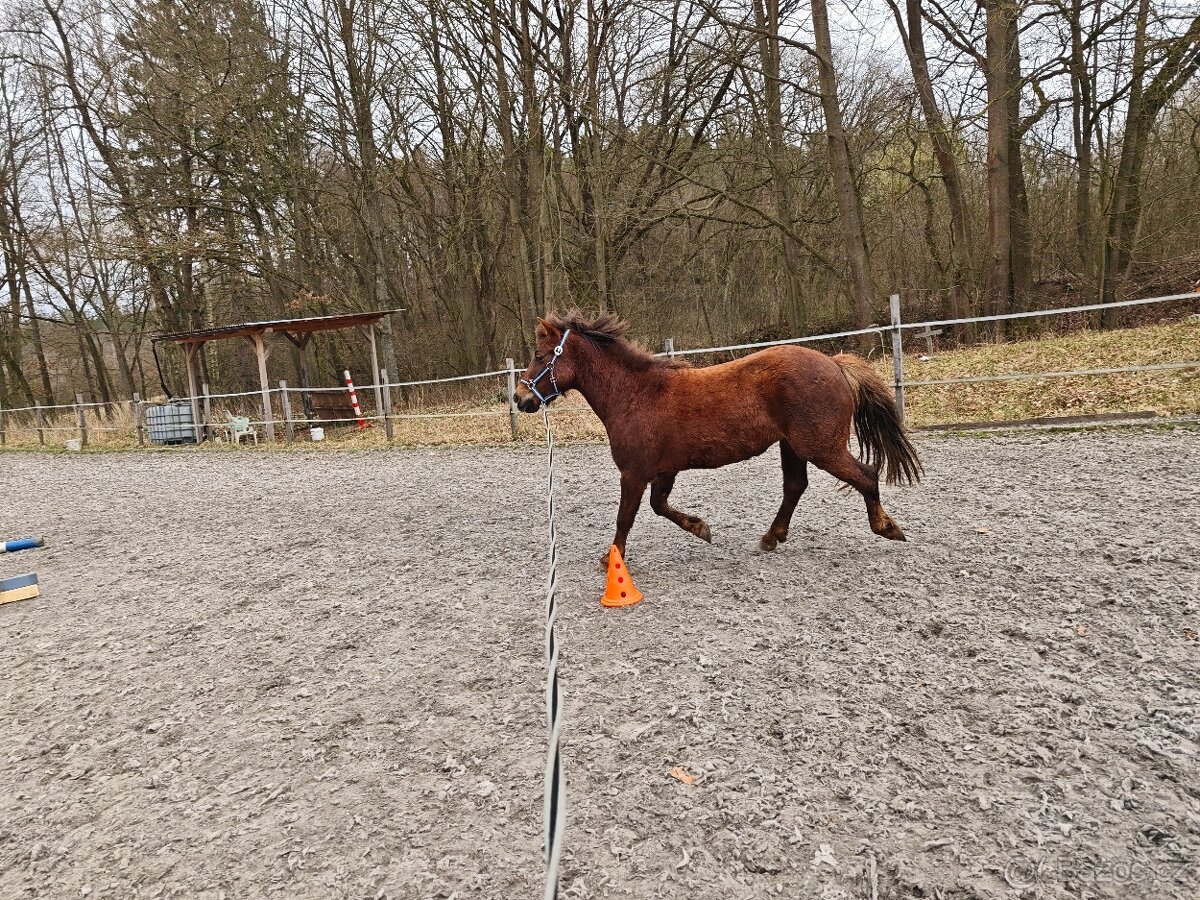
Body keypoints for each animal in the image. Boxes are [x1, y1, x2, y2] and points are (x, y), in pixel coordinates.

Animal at [514, 310, 922, 567]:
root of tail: (835, 364)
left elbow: (625, 518)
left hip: (821, 447)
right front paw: (702, 529)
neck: (635, 394)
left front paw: (609, 560)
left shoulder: (634, 473)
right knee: (795, 487)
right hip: (793, 446)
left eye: (540, 356)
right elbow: (659, 507)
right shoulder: (664, 471)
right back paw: (770, 538)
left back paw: (887, 528)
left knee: (866, 475)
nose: (519, 399)